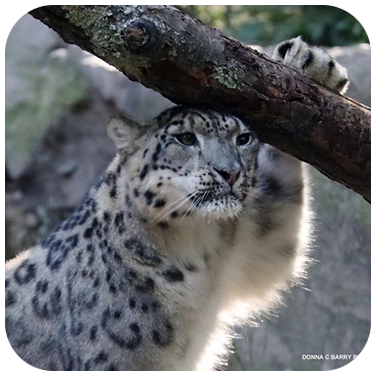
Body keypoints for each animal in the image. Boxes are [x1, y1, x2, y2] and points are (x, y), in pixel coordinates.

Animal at [4, 37, 348, 370]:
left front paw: (310, 64)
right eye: (185, 138)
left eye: (244, 138)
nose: (230, 172)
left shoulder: (253, 246)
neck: (194, 251)